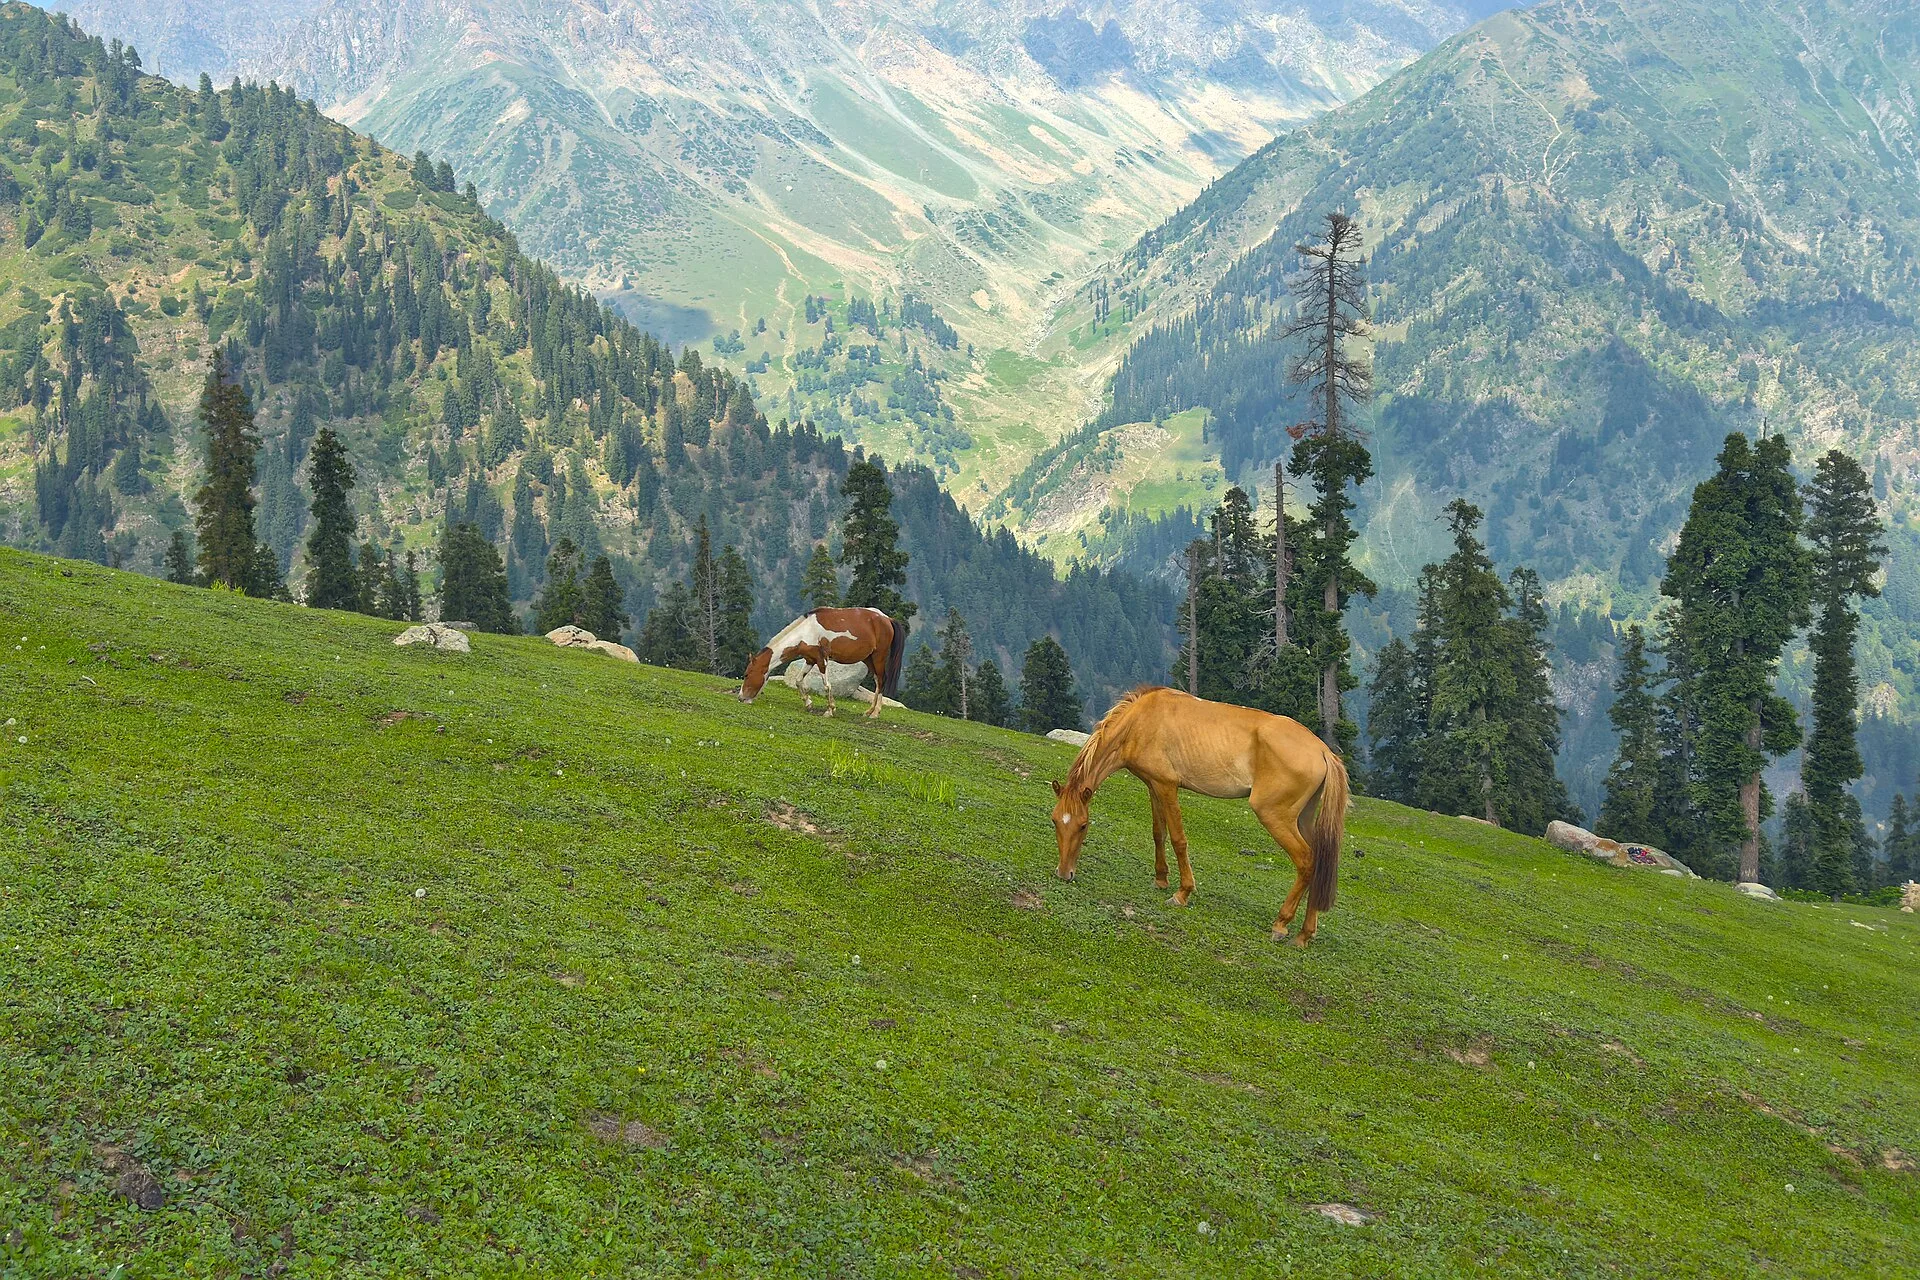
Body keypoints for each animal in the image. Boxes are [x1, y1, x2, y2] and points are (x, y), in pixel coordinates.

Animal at [737, 607, 908, 719]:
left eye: (746, 675)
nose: (741, 698)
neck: (806, 631)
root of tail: (887, 619)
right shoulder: (810, 659)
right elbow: (798, 680)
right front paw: (808, 703)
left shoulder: (821, 660)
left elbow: (827, 686)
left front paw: (830, 710)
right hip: (868, 658)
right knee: (877, 681)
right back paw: (869, 711)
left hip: (879, 656)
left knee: (881, 680)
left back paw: (875, 713)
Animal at [1050, 686, 1349, 947]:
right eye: (1055, 821)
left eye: (1083, 825)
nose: (1064, 873)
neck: (1142, 721)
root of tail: (1322, 750)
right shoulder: (1153, 786)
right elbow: (1158, 833)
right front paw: (1161, 879)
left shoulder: (1167, 786)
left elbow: (1178, 839)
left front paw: (1182, 893)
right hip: (1302, 818)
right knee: (1319, 860)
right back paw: (1304, 934)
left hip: (1275, 816)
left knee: (1306, 860)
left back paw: (1281, 924)